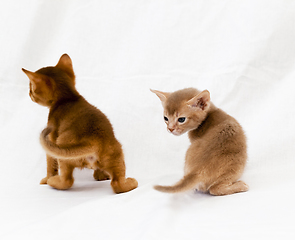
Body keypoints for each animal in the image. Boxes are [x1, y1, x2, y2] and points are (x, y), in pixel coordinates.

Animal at [22, 54, 138, 193]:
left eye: (31, 88)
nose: (29, 94)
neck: (68, 98)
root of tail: (93, 140)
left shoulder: (51, 138)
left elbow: (50, 164)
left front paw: (46, 179)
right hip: (116, 153)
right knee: (117, 184)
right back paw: (124, 181)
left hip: (63, 154)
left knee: (67, 181)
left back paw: (53, 181)